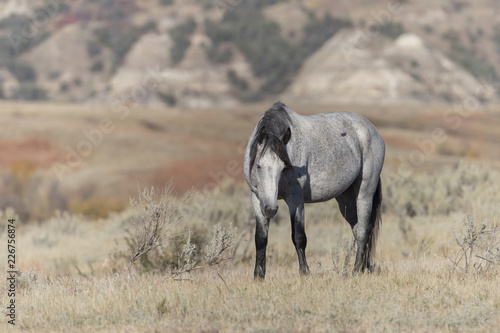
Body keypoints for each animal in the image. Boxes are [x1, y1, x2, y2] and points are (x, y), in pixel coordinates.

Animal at [244, 102, 384, 278]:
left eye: (283, 167)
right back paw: (364, 267)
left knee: (363, 231)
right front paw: (259, 275)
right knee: (358, 228)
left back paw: (356, 270)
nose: (270, 208)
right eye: (258, 166)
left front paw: (304, 272)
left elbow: (298, 236)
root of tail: (371, 128)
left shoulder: (295, 200)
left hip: (365, 193)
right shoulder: (257, 199)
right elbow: (261, 238)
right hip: (346, 199)